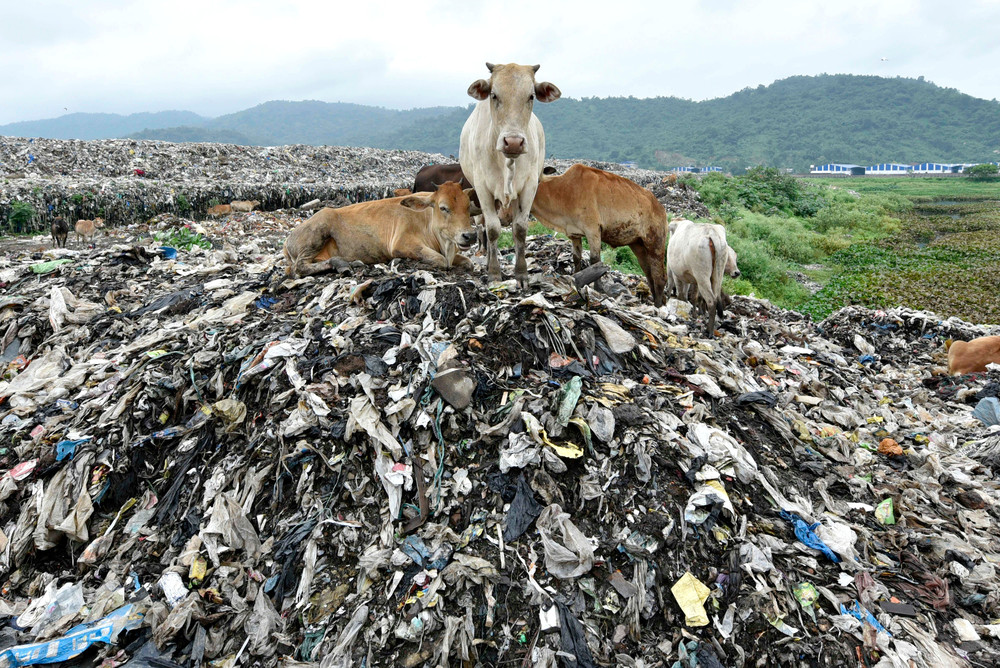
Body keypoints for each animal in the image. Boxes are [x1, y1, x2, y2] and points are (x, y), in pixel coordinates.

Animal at [284, 181, 482, 278]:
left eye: (467, 207)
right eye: (443, 208)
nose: (470, 235)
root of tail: (287, 240)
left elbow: (469, 262)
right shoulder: (401, 244)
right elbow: (440, 260)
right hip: (318, 230)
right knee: (299, 267)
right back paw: (341, 264)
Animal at [528, 164, 668, 306]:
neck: (564, 190)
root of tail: (660, 207)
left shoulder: (593, 230)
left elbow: (595, 260)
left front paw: (597, 288)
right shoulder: (574, 234)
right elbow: (576, 258)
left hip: (655, 242)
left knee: (659, 277)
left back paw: (658, 305)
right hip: (637, 245)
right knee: (649, 274)